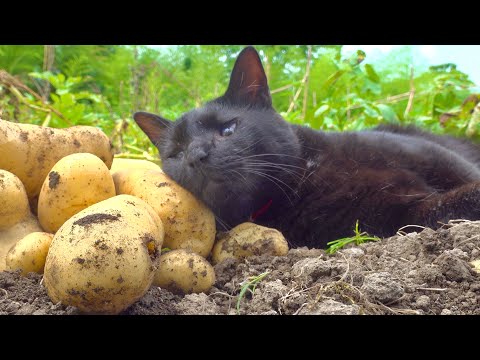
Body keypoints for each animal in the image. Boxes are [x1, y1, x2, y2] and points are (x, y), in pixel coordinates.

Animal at [133, 46, 480, 248]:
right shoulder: (398, 216)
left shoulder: (437, 159)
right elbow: (449, 204)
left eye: (228, 129)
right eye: (176, 154)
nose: (195, 155)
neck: (306, 176)